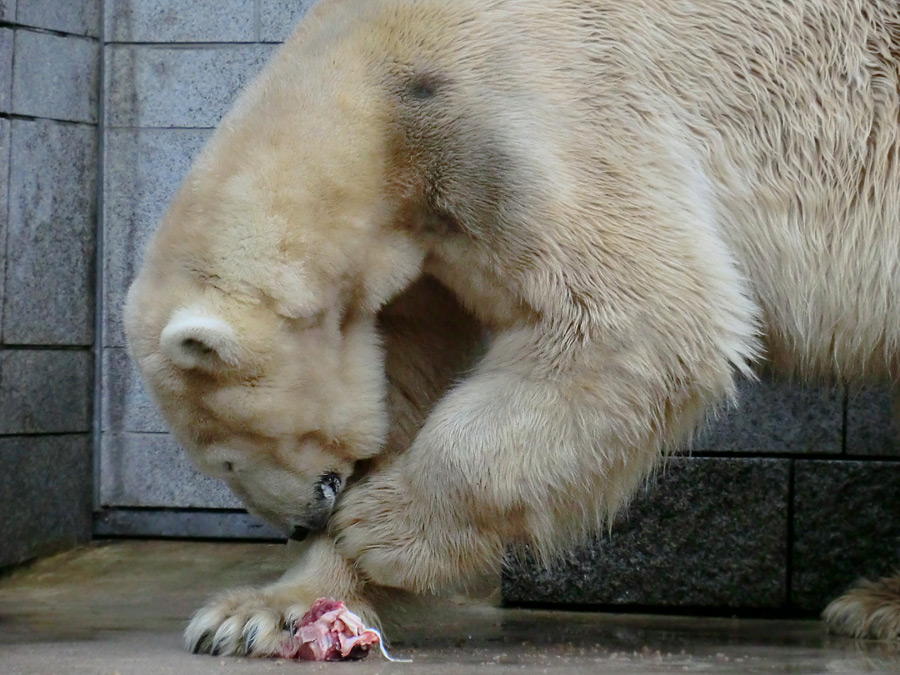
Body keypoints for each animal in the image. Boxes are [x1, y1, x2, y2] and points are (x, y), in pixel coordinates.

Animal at [123, 0, 900, 656]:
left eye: (226, 458)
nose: (300, 524)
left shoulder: (524, 116)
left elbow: (636, 317)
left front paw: (377, 528)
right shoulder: (424, 237)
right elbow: (404, 379)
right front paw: (260, 613)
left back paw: (875, 603)